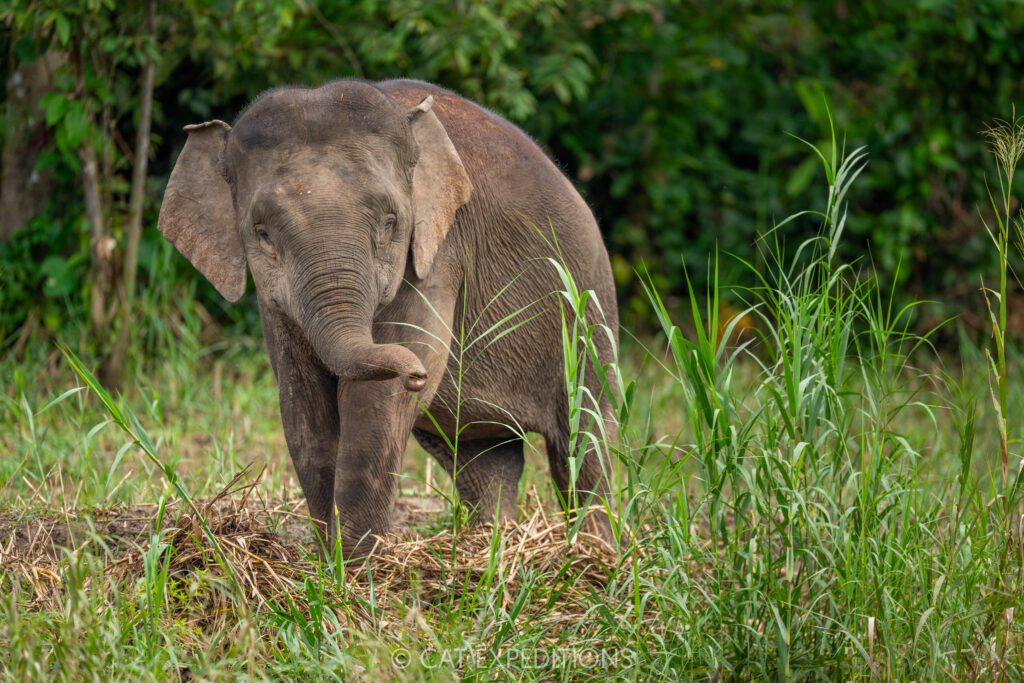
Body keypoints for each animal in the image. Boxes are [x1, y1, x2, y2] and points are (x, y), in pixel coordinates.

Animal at [157, 79, 619, 559]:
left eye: (389, 223)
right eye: (262, 234)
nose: (416, 374)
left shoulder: (438, 252)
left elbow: (380, 399)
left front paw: (355, 565)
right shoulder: (273, 302)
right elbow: (302, 402)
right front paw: (330, 560)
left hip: (590, 312)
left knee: (583, 438)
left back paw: (596, 551)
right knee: (483, 457)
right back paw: (494, 545)